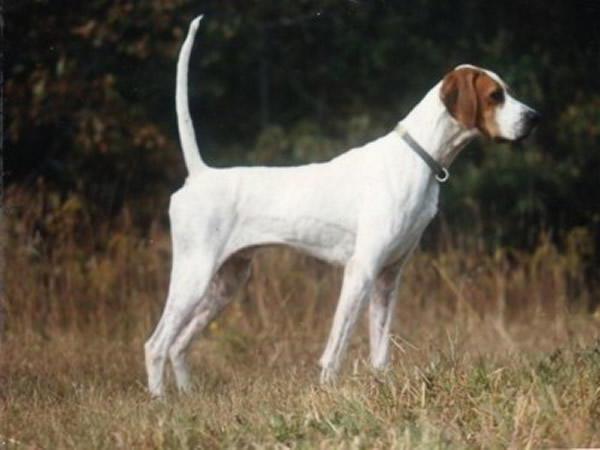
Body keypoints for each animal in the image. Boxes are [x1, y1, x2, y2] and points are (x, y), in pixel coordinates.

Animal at [144, 14, 540, 398]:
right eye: (495, 95)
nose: (534, 117)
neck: (418, 157)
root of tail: (199, 174)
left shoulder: (388, 276)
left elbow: (380, 351)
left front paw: (383, 392)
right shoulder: (360, 270)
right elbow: (336, 349)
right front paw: (329, 394)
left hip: (227, 281)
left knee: (179, 345)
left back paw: (187, 398)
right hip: (193, 276)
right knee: (156, 345)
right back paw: (160, 402)